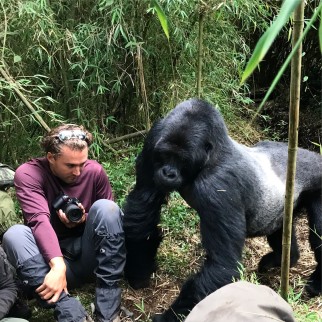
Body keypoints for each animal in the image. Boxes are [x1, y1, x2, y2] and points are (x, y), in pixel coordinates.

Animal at [122, 98, 320, 322]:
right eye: (164, 155)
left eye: (182, 160)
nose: (167, 173)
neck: (211, 155)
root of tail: (314, 156)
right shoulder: (154, 137)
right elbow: (143, 206)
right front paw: (139, 270)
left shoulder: (217, 187)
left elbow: (221, 266)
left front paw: (167, 318)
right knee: (280, 230)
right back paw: (281, 259)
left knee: (318, 234)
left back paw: (315, 283)